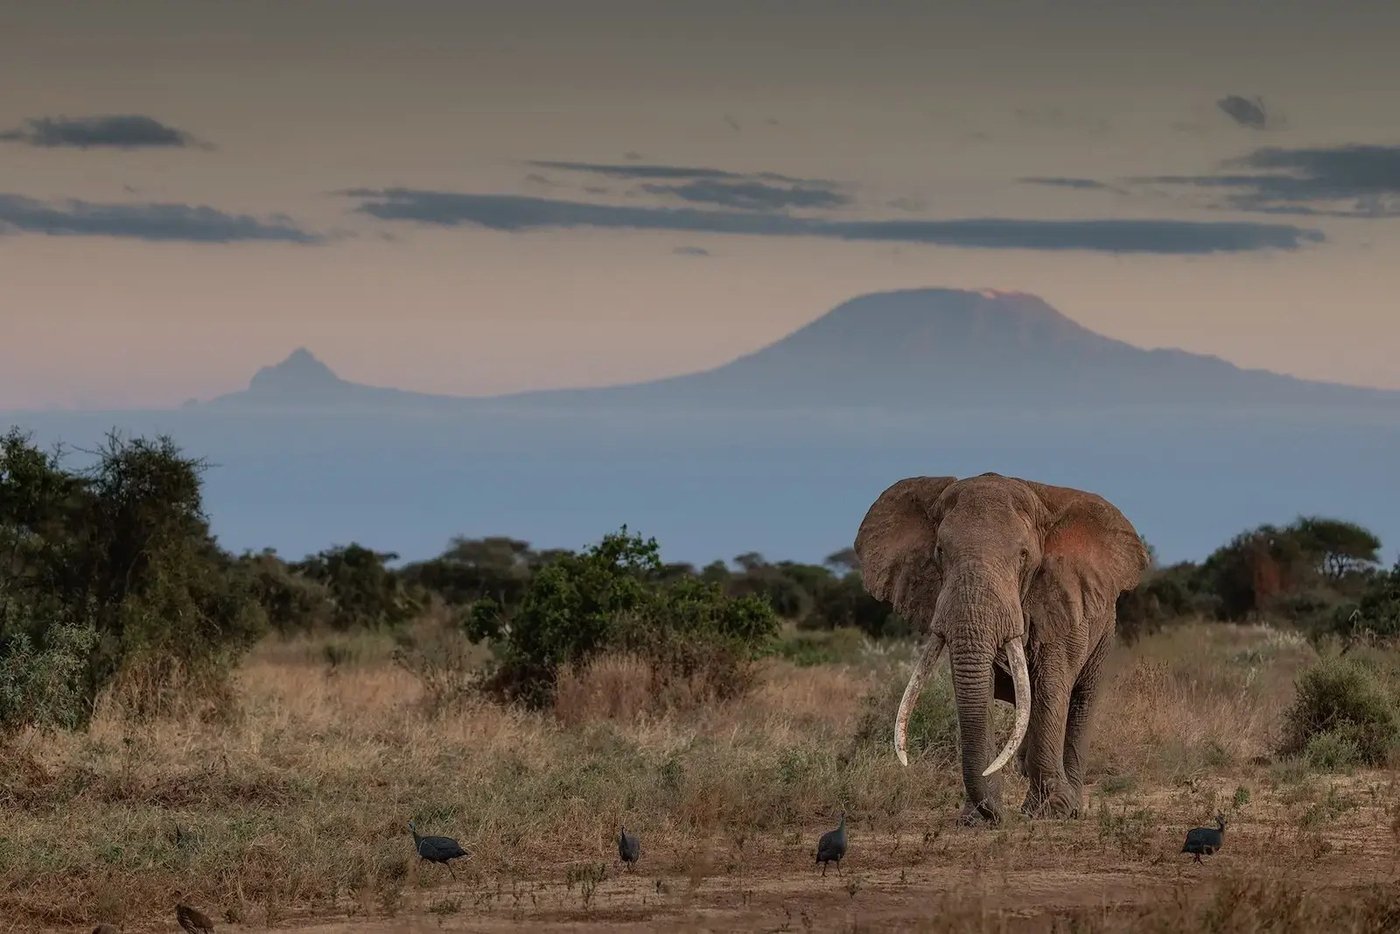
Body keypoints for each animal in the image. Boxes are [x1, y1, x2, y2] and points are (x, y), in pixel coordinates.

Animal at [854, 472, 1147, 824]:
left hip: (1104, 630)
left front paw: (1053, 811)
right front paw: (976, 819)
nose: (995, 816)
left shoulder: (1061, 600)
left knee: (1080, 702)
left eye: (1023, 555)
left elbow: (1051, 687)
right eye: (939, 551)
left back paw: (1069, 807)